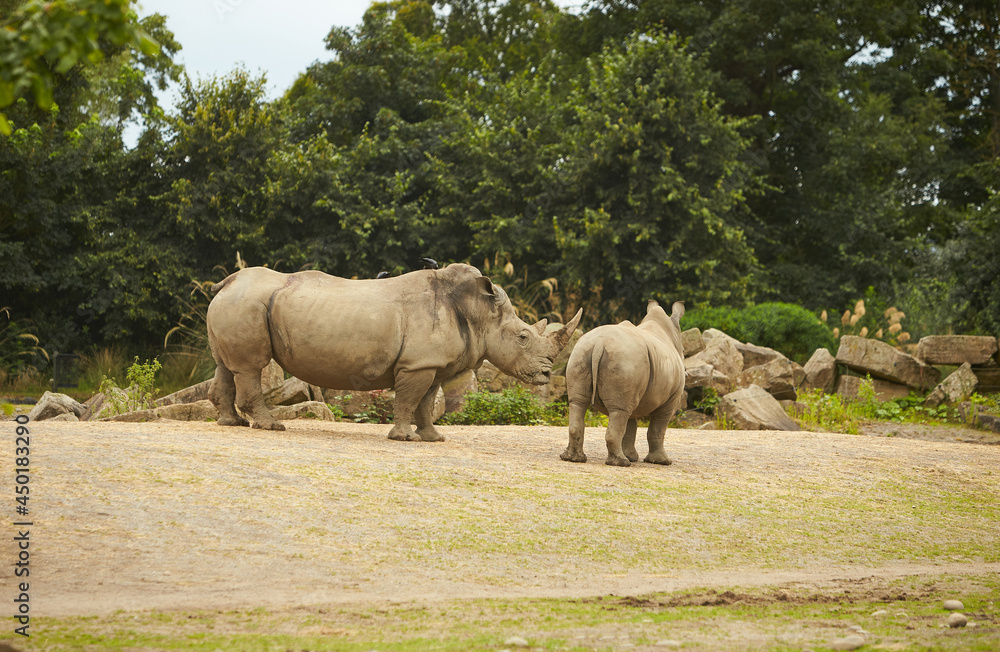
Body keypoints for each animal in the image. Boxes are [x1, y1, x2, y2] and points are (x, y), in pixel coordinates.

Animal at [206, 264, 582, 442]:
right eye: (523, 337)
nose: (546, 374)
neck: (478, 312)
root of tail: (225, 282)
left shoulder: (432, 364)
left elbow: (426, 403)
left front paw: (433, 438)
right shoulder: (417, 364)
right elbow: (407, 399)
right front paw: (403, 438)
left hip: (237, 304)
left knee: (226, 366)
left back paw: (232, 422)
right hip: (246, 304)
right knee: (250, 368)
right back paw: (271, 427)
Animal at [561, 300, 686, 467]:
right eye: (684, 349)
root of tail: (599, 343)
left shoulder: (633, 391)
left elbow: (630, 427)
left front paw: (632, 457)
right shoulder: (672, 399)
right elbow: (657, 429)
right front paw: (662, 462)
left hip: (580, 353)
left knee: (579, 403)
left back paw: (572, 458)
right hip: (625, 359)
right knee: (619, 411)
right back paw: (621, 463)